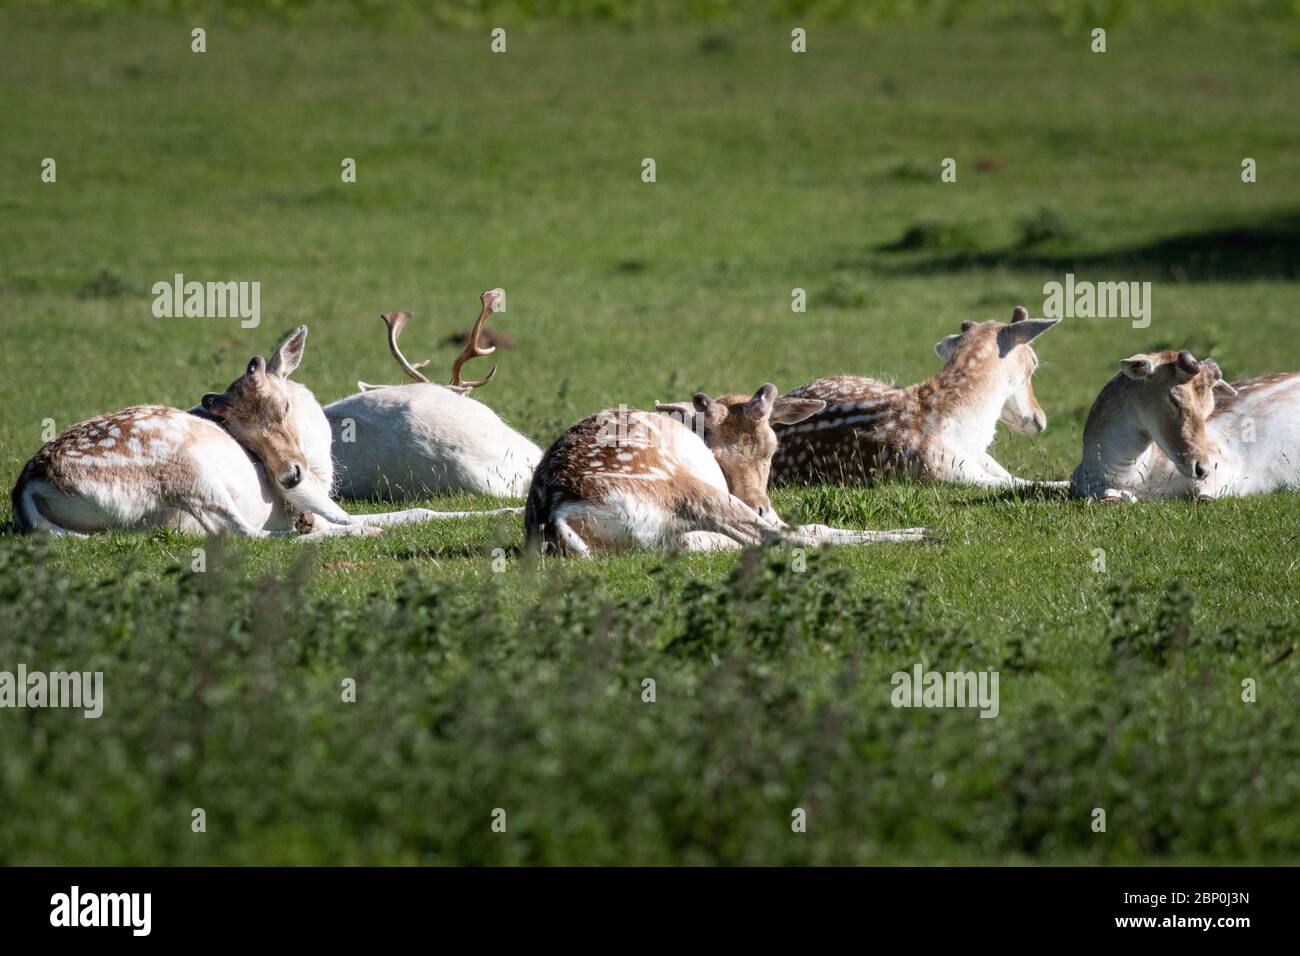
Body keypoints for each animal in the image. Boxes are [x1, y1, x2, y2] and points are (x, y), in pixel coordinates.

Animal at [13, 327, 517, 538]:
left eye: (284, 406)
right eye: (236, 426)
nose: (289, 475)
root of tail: (27, 489)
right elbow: (409, 512)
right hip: (186, 470)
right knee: (244, 534)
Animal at [522, 385, 930, 556]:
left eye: (771, 449)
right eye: (712, 452)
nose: (758, 504)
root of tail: (557, 516)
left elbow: (816, 524)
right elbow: (809, 530)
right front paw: (923, 532)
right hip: (683, 488)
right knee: (780, 539)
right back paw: (924, 537)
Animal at [764, 308, 1060, 489]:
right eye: (1034, 362)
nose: (1040, 419)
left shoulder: (980, 459)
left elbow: (1018, 477)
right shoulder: (946, 473)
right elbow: (1024, 484)